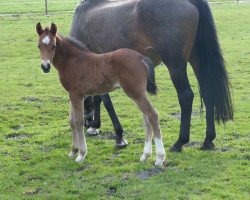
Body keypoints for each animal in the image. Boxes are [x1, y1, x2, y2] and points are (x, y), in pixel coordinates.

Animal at [35, 22, 166, 166]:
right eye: (39, 46)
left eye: (54, 45)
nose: (45, 67)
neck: (72, 61)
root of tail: (141, 57)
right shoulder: (72, 95)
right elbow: (71, 121)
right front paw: (73, 151)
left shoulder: (77, 95)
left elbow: (78, 121)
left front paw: (81, 154)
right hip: (139, 93)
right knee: (146, 118)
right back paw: (145, 155)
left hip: (135, 92)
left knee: (152, 115)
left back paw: (159, 157)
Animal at [71, 0, 234, 151]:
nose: (86, 123)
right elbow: (99, 99)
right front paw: (96, 126)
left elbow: (105, 101)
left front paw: (118, 135)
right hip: (197, 60)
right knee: (208, 93)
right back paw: (208, 140)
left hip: (175, 65)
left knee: (186, 96)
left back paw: (180, 142)